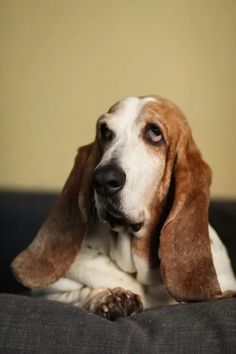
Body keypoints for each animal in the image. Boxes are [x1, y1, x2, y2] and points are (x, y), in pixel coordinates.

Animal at [11, 95, 236, 320]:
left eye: (155, 132)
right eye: (105, 131)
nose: (103, 179)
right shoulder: (49, 292)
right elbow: (77, 294)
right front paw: (109, 297)